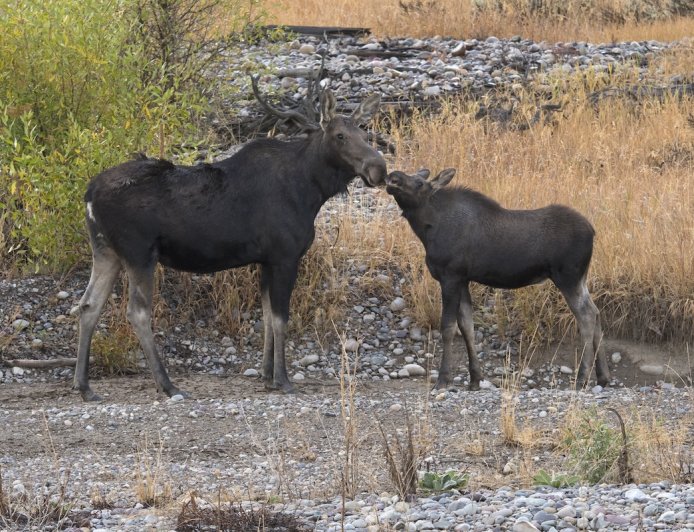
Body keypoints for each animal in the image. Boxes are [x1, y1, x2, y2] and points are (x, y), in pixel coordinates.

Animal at [74, 86, 387, 401]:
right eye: (340, 136)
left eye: (364, 133)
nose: (378, 168)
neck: (312, 189)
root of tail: (88, 194)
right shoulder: (284, 256)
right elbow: (280, 318)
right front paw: (283, 379)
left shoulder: (265, 260)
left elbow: (266, 316)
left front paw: (266, 376)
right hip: (139, 253)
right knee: (137, 312)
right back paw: (167, 384)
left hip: (106, 252)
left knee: (89, 305)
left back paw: (84, 386)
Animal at [385, 168, 610, 390]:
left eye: (419, 183)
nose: (392, 177)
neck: (428, 229)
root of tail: (592, 231)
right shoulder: (463, 280)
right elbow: (467, 326)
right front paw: (475, 379)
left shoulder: (450, 277)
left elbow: (448, 328)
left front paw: (443, 380)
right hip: (580, 278)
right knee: (597, 312)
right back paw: (603, 376)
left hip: (568, 278)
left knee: (587, 316)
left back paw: (582, 378)